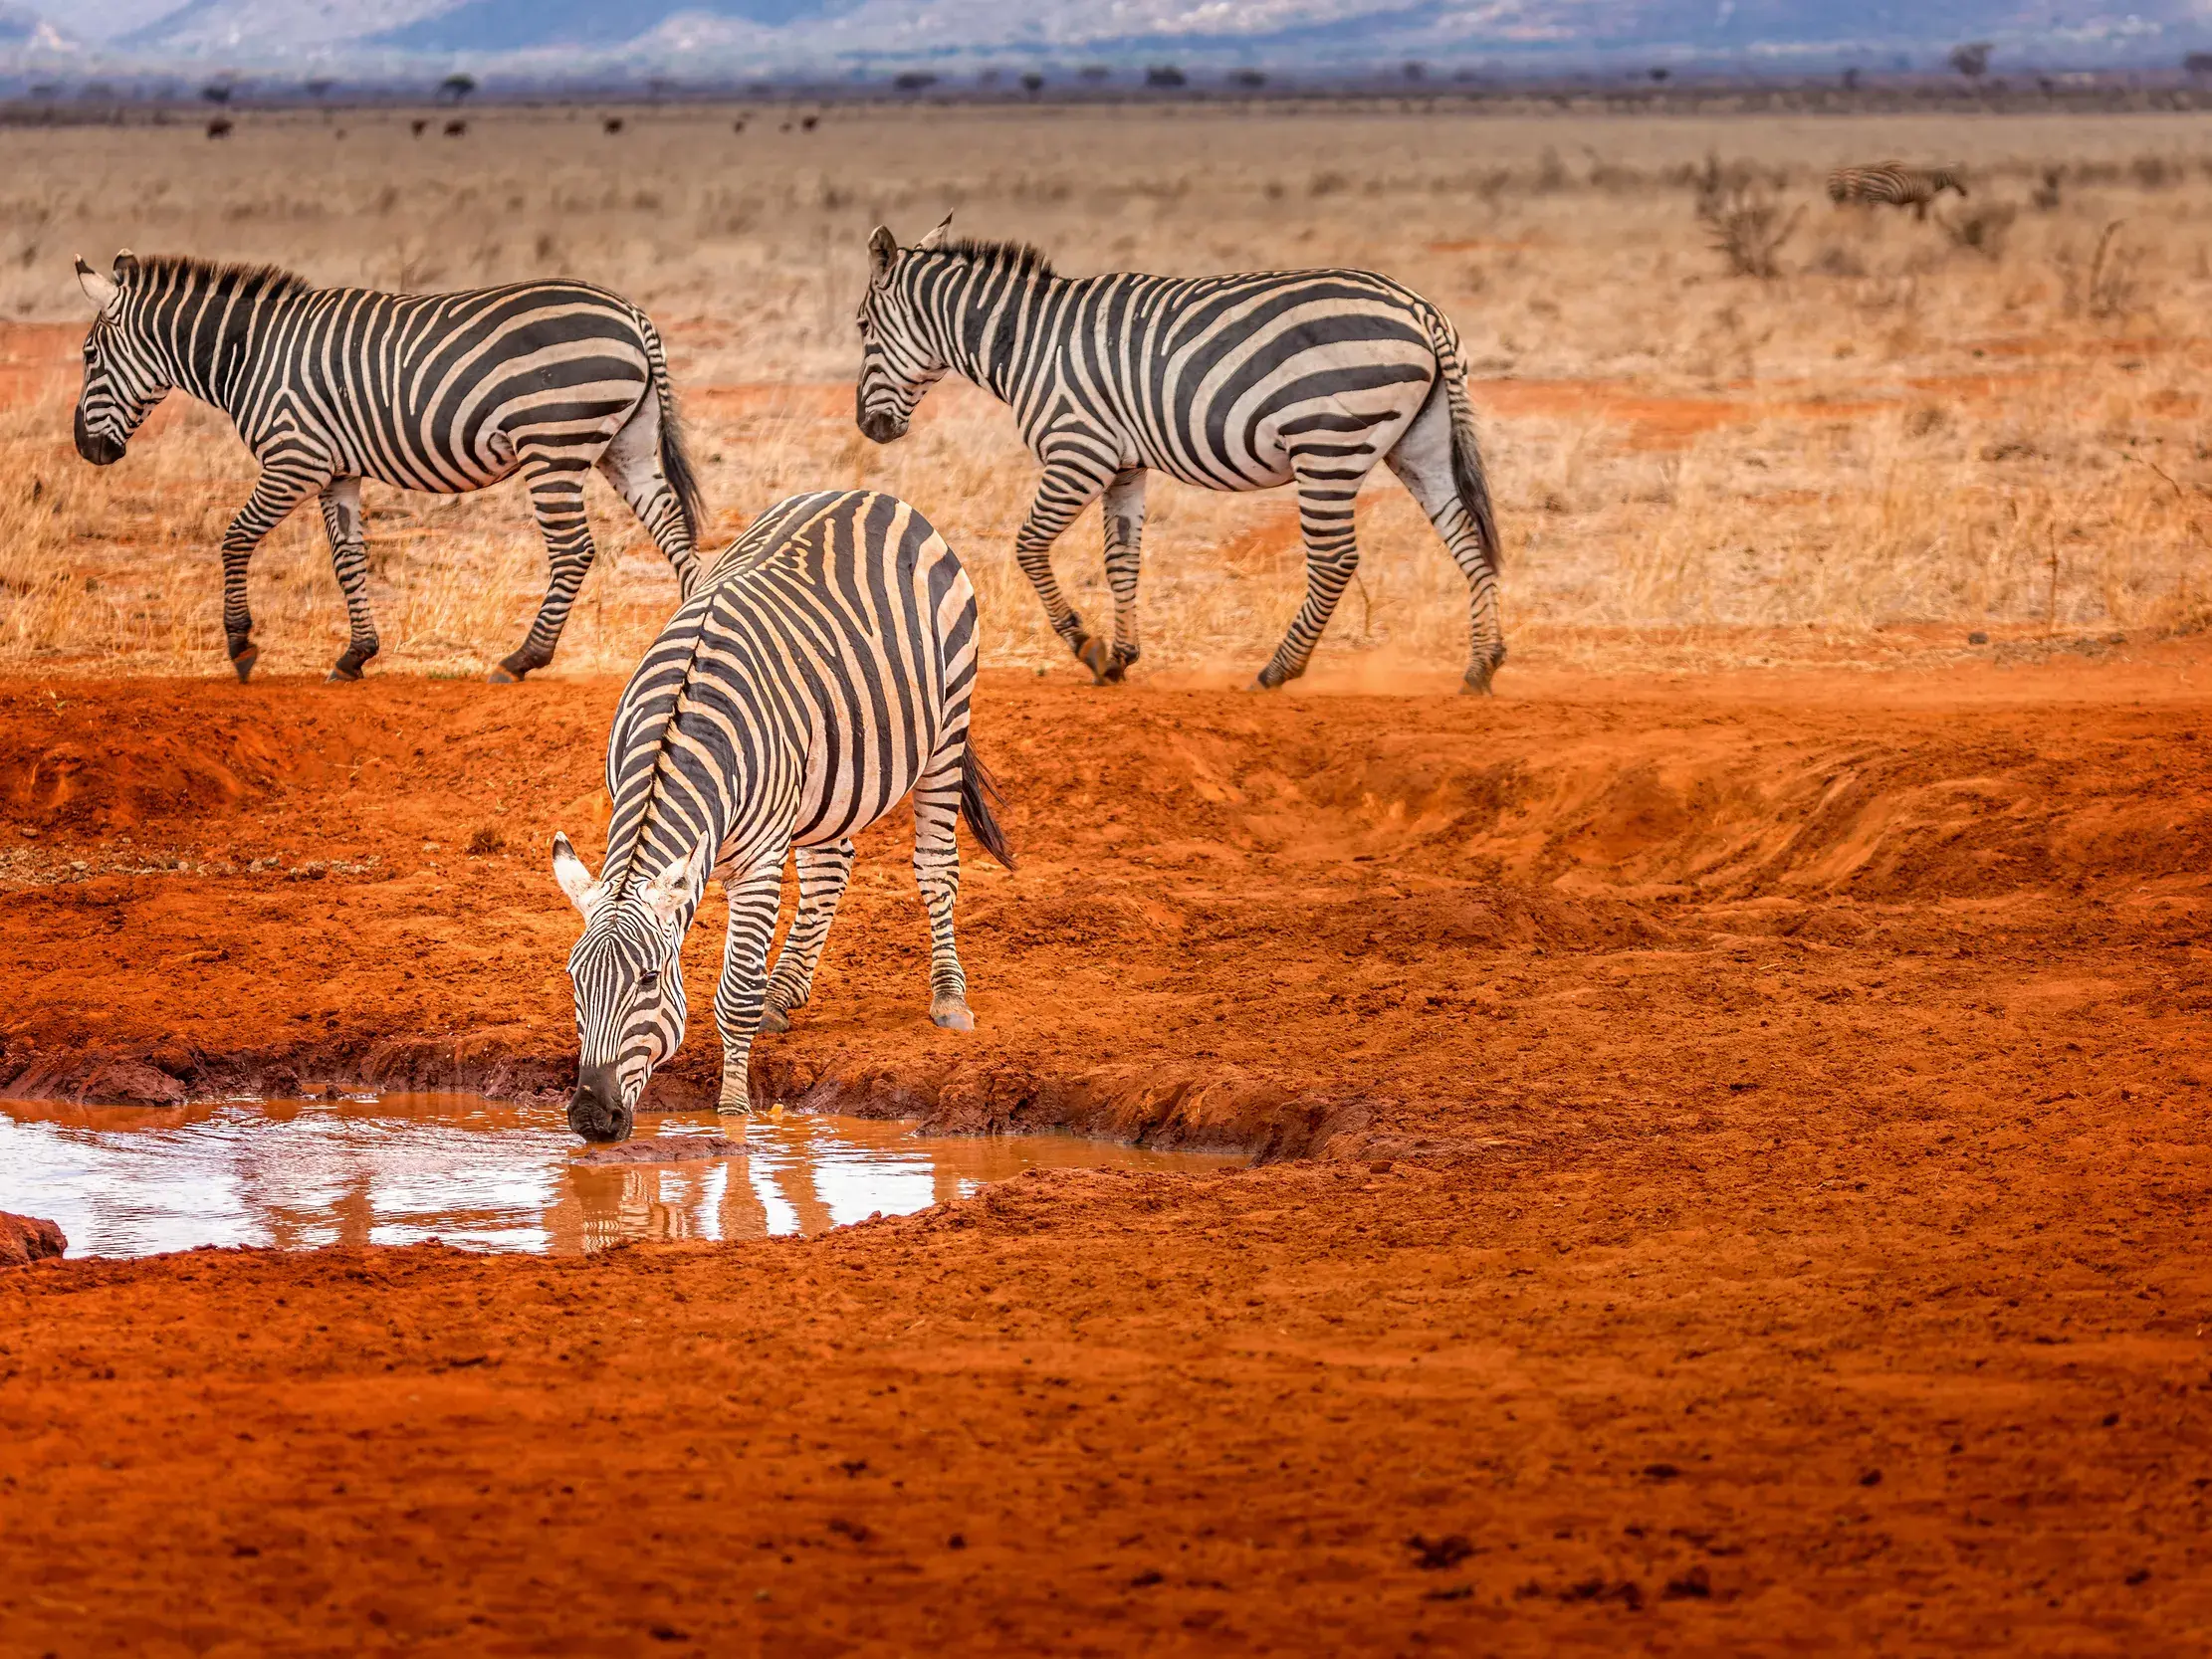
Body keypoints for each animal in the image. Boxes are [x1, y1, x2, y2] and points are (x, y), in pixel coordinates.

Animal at [71, 250, 704, 684]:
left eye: (89, 355)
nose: (85, 449)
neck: (247, 353)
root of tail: (633, 314)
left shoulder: (295, 458)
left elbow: (235, 538)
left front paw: (241, 645)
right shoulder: (337, 471)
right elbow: (348, 558)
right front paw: (355, 655)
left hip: (552, 444)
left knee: (574, 550)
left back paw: (522, 658)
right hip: (625, 445)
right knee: (672, 529)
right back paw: (687, 631)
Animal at [550, 488, 1015, 1143]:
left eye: (647, 980)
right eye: (574, 979)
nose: (593, 1118)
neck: (679, 730)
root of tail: (869, 494)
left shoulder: (759, 863)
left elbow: (734, 998)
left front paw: (732, 1120)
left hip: (949, 723)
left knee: (935, 866)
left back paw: (948, 998)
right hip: (833, 774)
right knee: (830, 867)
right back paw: (786, 990)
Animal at [853, 215, 1507, 694]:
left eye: (861, 327)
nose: (868, 426)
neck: (1026, 342)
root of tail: (1421, 308)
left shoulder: (1078, 450)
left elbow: (1029, 546)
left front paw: (1086, 647)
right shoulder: (1124, 464)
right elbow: (1121, 560)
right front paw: (1121, 656)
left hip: (1326, 445)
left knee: (1335, 560)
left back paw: (1278, 670)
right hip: (1419, 443)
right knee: (1467, 538)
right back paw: (1482, 665)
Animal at [1825, 164, 1968, 220]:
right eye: (1959, 178)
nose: (1966, 193)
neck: (1931, 181)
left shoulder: (1917, 201)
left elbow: (1916, 217)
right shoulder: (1923, 199)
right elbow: (1922, 217)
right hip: (1874, 196)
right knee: (1868, 215)